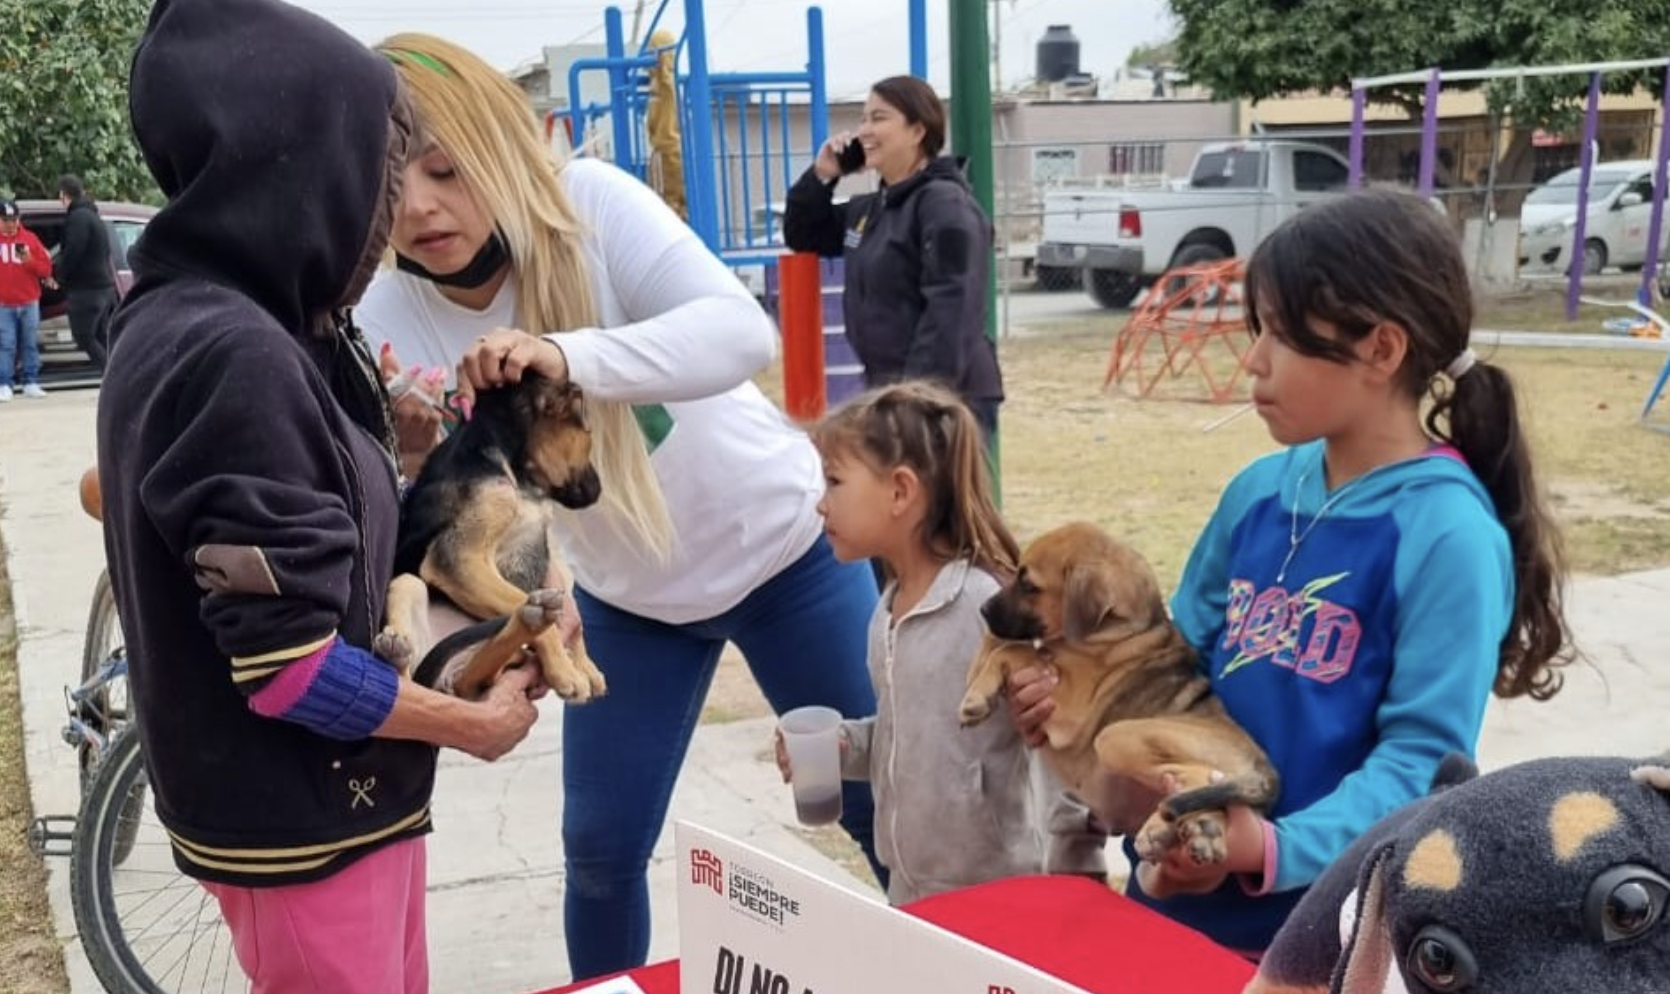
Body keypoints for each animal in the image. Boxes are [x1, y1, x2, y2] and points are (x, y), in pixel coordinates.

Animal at [379, 374, 607, 708]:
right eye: (587, 435)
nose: (597, 492)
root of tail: (444, 681)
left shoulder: (545, 550)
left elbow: (570, 614)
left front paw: (584, 666)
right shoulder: (460, 559)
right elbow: (519, 598)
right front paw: (566, 670)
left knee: (480, 669)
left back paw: (530, 622)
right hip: (408, 584)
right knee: (408, 681)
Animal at [961, 524, 1269, 888]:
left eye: (1030, 585)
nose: (983, 610)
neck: (1114, 629)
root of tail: (1263, 765)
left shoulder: (1069, 701)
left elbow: (1014, 649)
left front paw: (977, 695)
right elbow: (1002, 643)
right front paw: (975, 682)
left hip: (1116, 738)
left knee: (1197, 775)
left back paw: (1163, 826)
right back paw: (1197, 832)